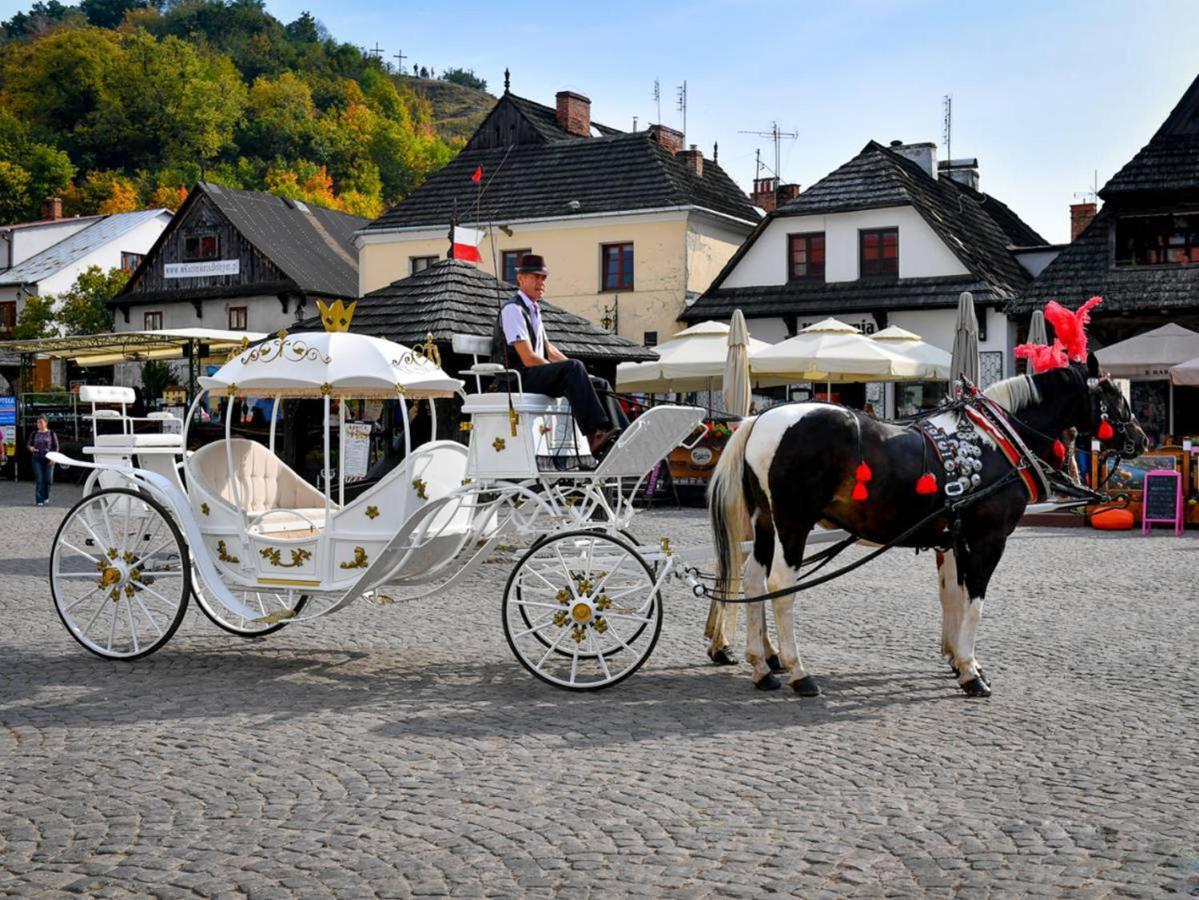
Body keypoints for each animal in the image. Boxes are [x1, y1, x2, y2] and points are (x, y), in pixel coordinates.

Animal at [705, 357, 1146, 695]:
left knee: (754, 579)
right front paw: (970, 672)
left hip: (766, 522)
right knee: (782, 586)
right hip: (793, 523)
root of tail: (760, 419)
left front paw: (959, 660)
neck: (995, 441)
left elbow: (952, 596)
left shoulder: (953, 539)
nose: (1141, 439)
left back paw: (762, 666)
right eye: (1113, 394)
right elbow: (974, 602)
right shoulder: (987, 539)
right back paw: (798, 671)